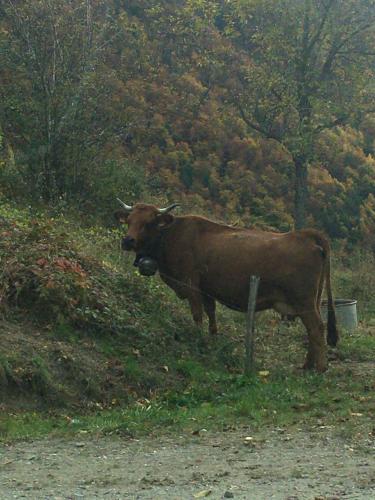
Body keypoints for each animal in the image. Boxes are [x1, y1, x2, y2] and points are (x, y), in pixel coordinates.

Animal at [116, 200, 340, 372]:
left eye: (148, 223)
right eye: (129, 221)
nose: (127, 240)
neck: (171, 236)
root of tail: (306, 234)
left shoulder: (191, 284)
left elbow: (197, 314)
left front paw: (199, 340)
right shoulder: (207, 289)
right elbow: (211, 313)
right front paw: (213, 338)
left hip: (303, 300)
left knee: (317, 327)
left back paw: (320, 367)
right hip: (313, 299)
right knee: (312, 330)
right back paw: (307, 365)